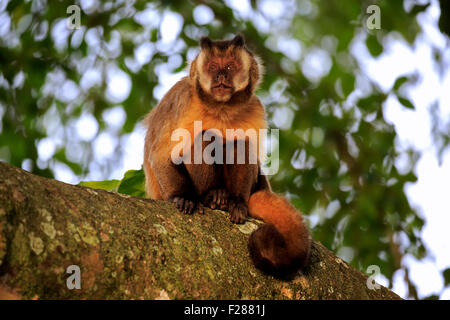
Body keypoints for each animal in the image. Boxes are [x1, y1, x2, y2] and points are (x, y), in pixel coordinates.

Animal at [142, 33, 312, 276]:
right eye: (213, 67)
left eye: (230, 66)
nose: (221, 75)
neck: (220, 108)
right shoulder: (181, 98)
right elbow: (161, 155)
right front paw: (183, 196)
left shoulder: (256, 108)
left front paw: (239, 202)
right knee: (206, 138)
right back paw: (209, 196)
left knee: (240, 143)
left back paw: (232, 200)